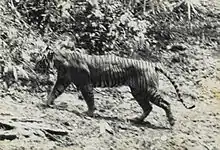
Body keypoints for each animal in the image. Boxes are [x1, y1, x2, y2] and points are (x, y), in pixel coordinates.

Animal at [35, 49, 195, 126]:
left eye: (39, 60)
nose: (34, 66)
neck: (59, 62)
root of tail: (152, 64)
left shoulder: (85, 84)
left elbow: (89, 99)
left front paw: (89, 113)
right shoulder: (62, 81)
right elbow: (54, 92)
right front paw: (46, 103)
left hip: (149, 90)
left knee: (166, 103)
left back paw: (172, 122)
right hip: (138, 92)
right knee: (148, 107)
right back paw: (137, 119)